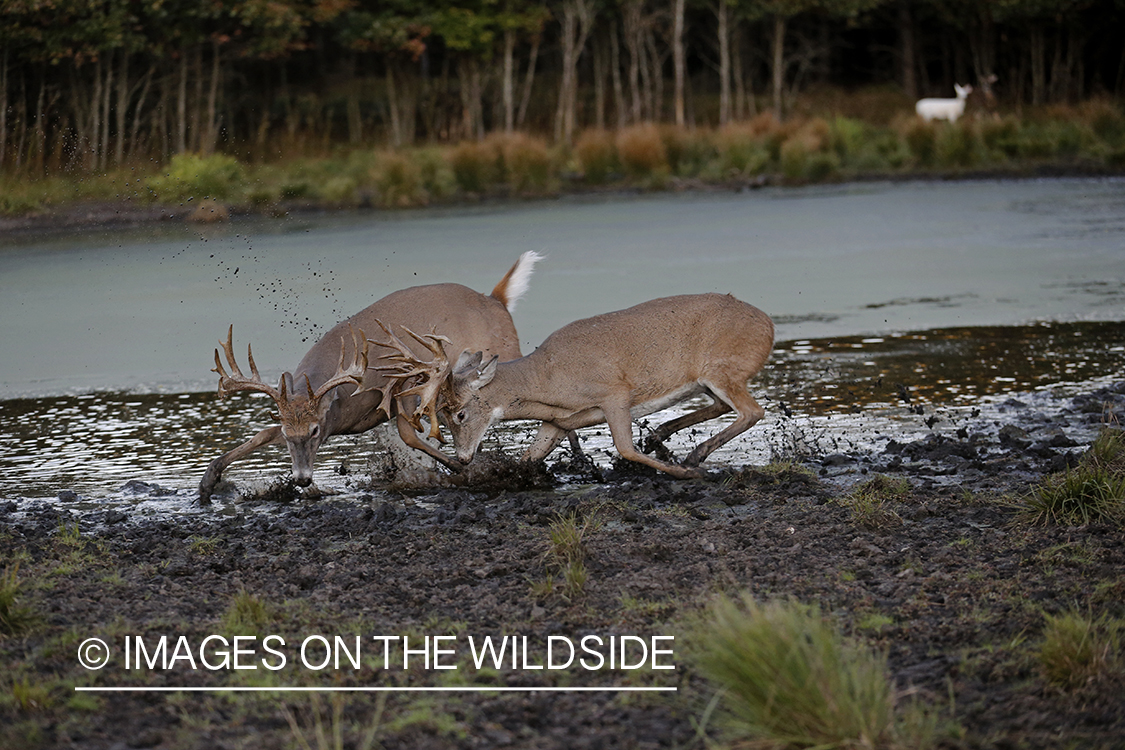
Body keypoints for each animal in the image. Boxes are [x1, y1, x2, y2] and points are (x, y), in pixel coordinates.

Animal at [200, 251, 542, 503]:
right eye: (289, 435)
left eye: (314, 430)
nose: (302, 479)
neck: (341, 407)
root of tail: (496, 299)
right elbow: (263, 433)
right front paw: (208, 480)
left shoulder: (400, 383)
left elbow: (408, 433)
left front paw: (459, 467)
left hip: (504, 350)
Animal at [375, 294, 774, 481]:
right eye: (440, 414)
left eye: (459, 413)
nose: (462, 458)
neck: (548, 383)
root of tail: (767, 323)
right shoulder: (557, 422)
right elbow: (528, 457)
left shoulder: (615, 392)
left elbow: (625, 449)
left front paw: (689, 474)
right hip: (709, 381)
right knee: (725, 407)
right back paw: (666, 439)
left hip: (724, 368)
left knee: (753, 410)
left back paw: (692, 457)